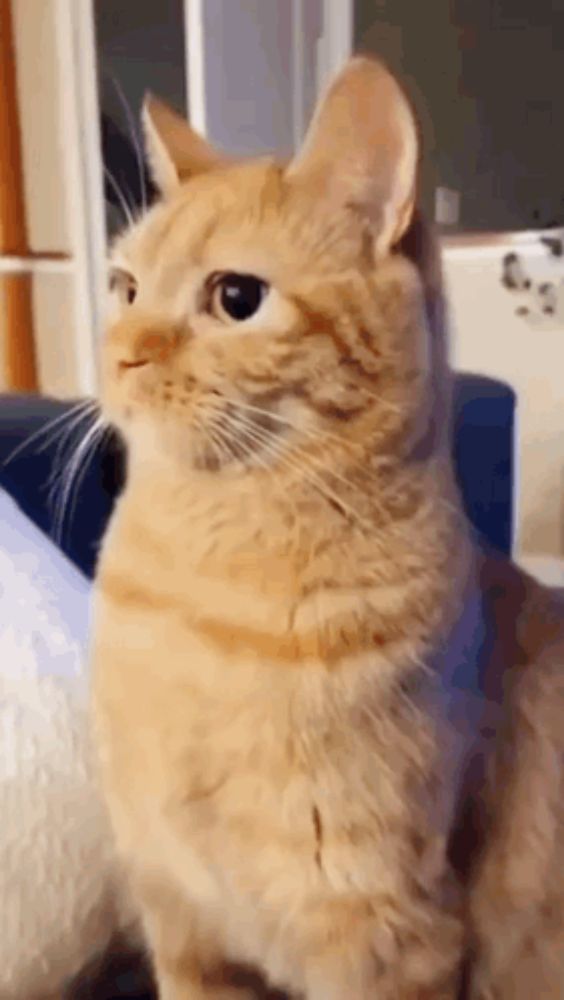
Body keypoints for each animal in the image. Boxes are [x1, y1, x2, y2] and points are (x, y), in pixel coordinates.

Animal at [90, 58, 564, 996]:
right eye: (124, 288)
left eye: (236, 298)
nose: (120, 353)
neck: (195, 596)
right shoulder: (183, 929)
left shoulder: (385, 938)